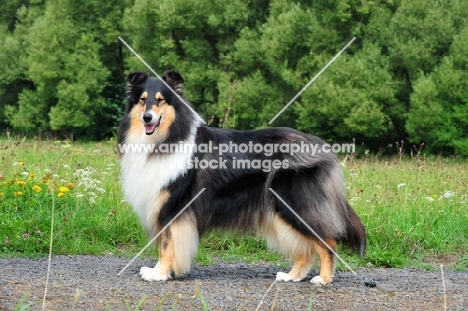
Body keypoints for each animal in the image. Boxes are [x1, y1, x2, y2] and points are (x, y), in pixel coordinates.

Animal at [117, 70, 366, 286]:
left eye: (161, 100)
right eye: (142, 100)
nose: (147, 117)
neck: (164, 139)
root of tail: (322, 147)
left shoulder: (174, 206)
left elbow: (167, 245)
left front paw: (159, 274)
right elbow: (163, 244)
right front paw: (159, 271)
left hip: (293, 205)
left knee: (328, 241)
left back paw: (323, 279)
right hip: (281, 212)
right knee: (305, 249)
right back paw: (291, 276)